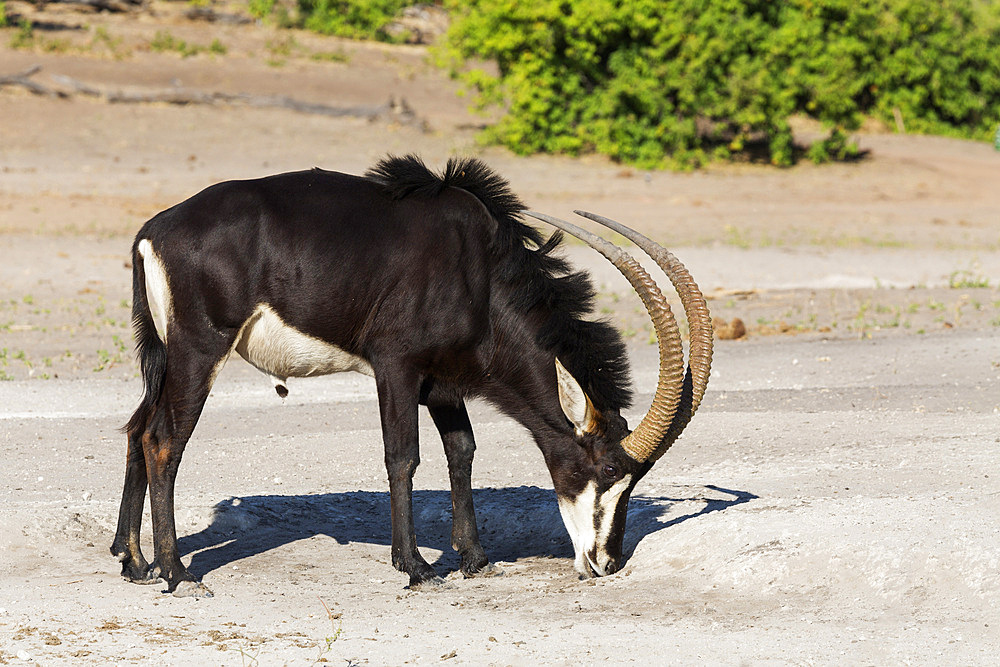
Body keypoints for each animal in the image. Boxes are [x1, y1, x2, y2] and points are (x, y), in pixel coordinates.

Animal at [113, 155, 712, 596]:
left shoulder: (441, 383)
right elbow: (403, 456)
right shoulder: (396, 367)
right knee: (163, 441)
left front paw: (475, 557)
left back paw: (134, 561)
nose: (607, 563)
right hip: (199, 351)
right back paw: (177, 573)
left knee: (137, 430)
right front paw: (417, 567)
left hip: (165, 357)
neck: (479, 272)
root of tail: (153, 231)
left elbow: (462, 450)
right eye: (609, 469)